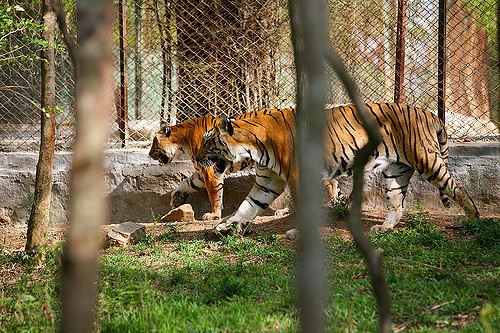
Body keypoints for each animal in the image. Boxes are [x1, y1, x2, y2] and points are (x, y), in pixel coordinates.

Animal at [148, 107, 282, 219]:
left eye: (154, 142)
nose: (149, 154)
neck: (183, 143)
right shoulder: (200, 172)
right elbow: (187, 183)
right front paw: (176, 198)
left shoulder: (210, 170)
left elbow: (214, 194)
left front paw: (214, 215)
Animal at [196, 101, 480, 233]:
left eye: (208, 143)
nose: (197, 159)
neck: (255, 148)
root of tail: (430, 113)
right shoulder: (268, 181)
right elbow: (248, 205)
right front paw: (226, 226)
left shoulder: (297, 177)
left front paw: (298, 233)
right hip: (395, 172)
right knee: (398, 205)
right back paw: (384, 228)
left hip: (427, 160)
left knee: (456, 187)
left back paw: (475, 220)